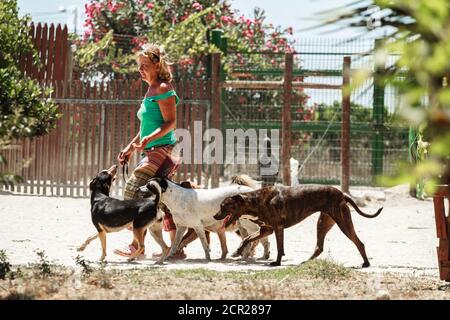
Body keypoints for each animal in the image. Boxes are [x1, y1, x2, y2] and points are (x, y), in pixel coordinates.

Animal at [213, 184, 382, 266]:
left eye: (223, 206)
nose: (215, 216)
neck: (255, 200)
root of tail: (342, 194)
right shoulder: (266, 230)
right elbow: (247, 239)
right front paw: (238, 251)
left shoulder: (277, 228)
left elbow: (279, 248)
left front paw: (277, 263)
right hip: (323, 223)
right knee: (319, 247)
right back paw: (306, 262)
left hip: (343, 223)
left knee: (359, 243)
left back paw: (366, 263)